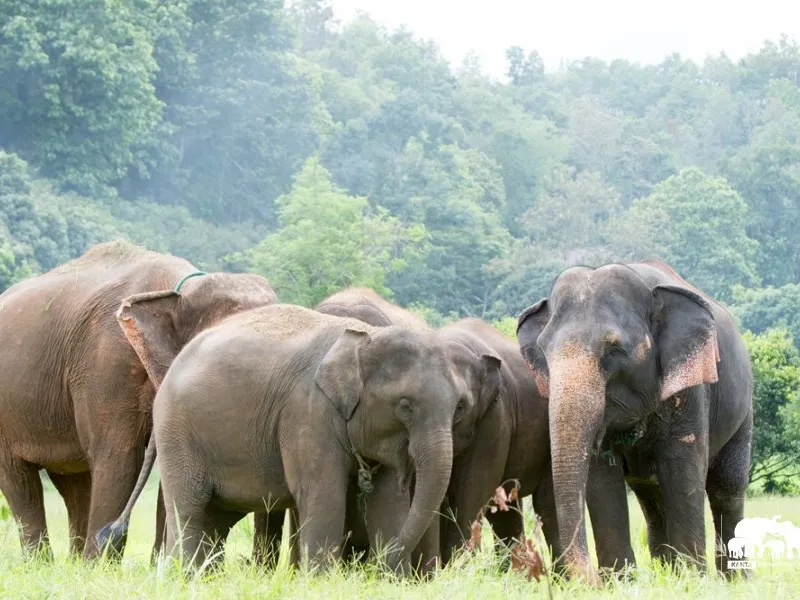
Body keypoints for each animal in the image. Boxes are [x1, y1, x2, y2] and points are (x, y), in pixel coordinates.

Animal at [0, 240, 278, 560]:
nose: (253, 564)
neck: (178, 290)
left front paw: (159, 564)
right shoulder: (107, 363)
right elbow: (119, 457)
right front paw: (99, 566)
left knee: (74, 483)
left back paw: (72, 561)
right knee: (20, 480)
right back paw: (46, 562)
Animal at [99, 303, 483, 573]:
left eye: (461, 407)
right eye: (405, 406)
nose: (376, 567)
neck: (364, 338)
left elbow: (388, 501)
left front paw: (391, 582)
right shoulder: (307, 413)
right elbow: (323, 495)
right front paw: (322, 581)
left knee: (215, 519)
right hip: (179, 434)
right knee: (191, 511)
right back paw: (187, 576)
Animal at [516, 259, 753, 584]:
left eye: (615, 350)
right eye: (544, 352)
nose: (585, 580)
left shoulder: (691, 389)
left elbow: (682, 470)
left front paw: (693, 581)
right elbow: (602, 477)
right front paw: (619, 582)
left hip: (744, 410)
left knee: (726, 489)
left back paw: (733, 580)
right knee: (652, 501)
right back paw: (668, 572)